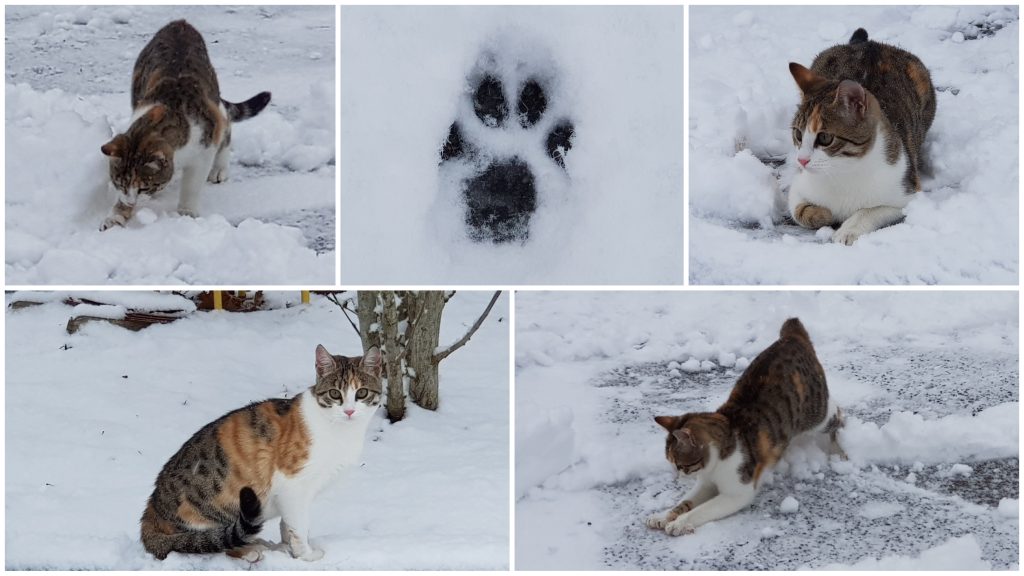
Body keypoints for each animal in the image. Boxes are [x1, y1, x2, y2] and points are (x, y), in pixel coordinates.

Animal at [96, 20, 270, 230]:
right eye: (119, 184)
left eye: (143, 187)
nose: (131, 201)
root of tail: (180, 22)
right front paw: (116, 216)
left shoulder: (204, 148)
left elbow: (192, 185)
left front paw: (186, 212)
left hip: (214, 102)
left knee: (226, 122)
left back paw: (219, 168)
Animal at [141, 342, 385, 557]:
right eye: (335, 394)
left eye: (361, 393)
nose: (349, 411)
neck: (339, 430)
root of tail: (151, 511)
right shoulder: (293, 483)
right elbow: (299, 524)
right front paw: (306, 555)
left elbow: (288, 524)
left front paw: (288, 548)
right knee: (219, 543)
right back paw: (252, 550)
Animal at [647, 317, 847, 532]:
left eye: (681, 465)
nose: (676, 478)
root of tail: (792, 336)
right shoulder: (705, 483)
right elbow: (685, 501)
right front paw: (663, 516)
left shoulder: (738, 490)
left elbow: (702, 510)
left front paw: (680, 523)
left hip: (817, 413)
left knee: (837, 413)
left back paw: (839, 449)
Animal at [782, 29, 937, 243]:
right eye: (798, 134)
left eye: (824, 138)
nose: (801, 160)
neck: (843, 171)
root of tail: (869, 44)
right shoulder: (798, 187)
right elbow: (800, 209)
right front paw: (823, 214)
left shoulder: (907, 194)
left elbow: (868, 211)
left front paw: (848, 230)